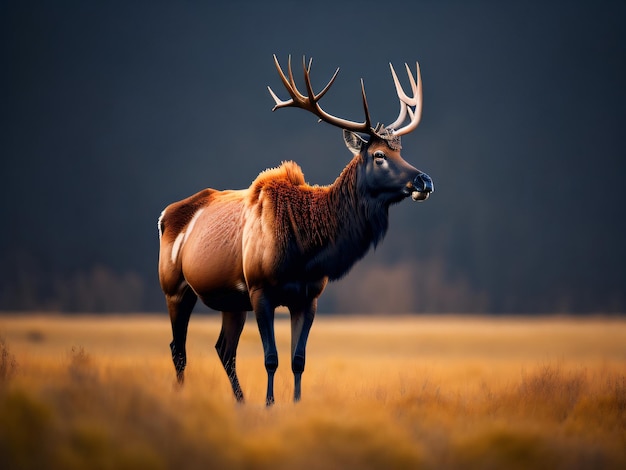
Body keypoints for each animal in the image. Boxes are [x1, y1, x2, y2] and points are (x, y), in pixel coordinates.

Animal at [156, 55, 432, 406]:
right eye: (379, 155)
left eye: (401, 151)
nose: (424, 180)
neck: (305, 253)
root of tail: (164, 215)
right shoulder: (259, 290)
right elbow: (271, 358)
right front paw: (269, 404)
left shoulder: (308, 296)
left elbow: (298, 360)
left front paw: (295, 403)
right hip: (175, 288)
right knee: (178, 349)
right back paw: (184, 396)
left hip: (231, 302)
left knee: (223, 350)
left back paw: (240, 402)